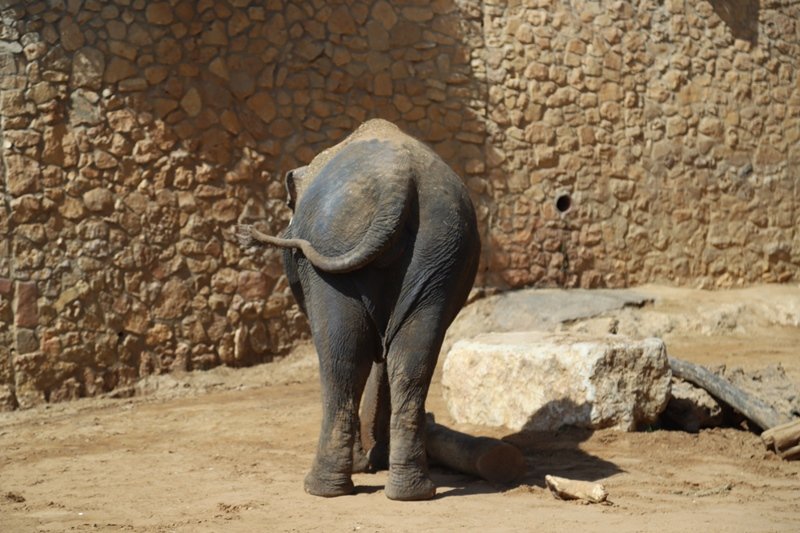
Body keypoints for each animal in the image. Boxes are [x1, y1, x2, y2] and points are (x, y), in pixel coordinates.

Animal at [239, 117, 482, 498]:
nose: (246, 232)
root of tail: (398, 182)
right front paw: (374, 461)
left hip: (336, 241)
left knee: (342, 358)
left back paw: (322, 488)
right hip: (443, 247)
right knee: (412, 357)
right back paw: (411, 492)